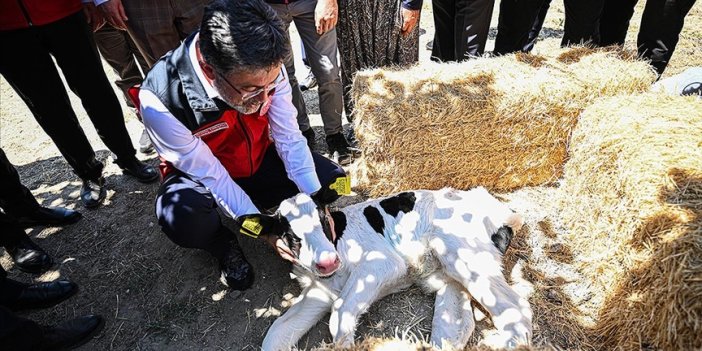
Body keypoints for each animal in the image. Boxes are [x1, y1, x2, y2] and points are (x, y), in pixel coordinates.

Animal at [264, 188, 532, 350]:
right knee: (456, 326)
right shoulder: (317, 292)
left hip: (464, 254)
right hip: (449, 274)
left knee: (515, 305)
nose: (328, 261)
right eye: (290, 234)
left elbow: (340, 310)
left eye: (323, 221)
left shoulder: (382, 261)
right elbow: (277, 331)